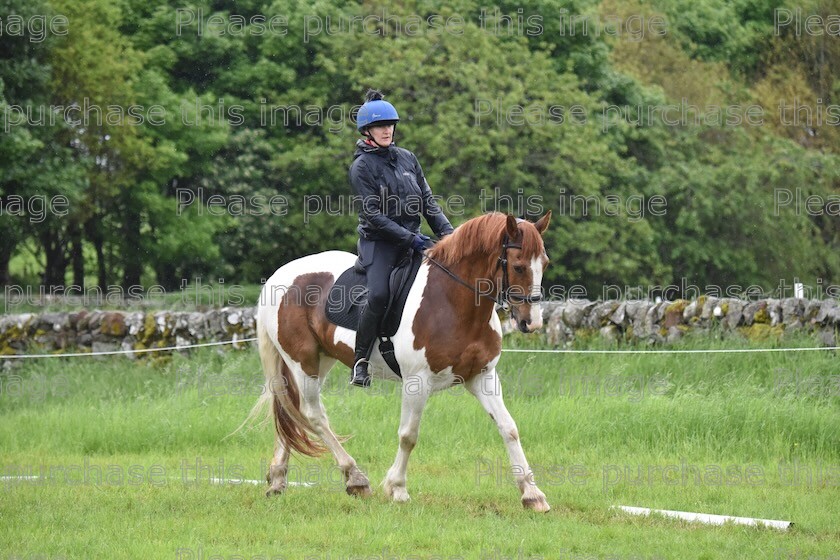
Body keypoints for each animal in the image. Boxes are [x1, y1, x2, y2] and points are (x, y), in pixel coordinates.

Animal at [246, 210, 556, 512]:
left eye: (545, 263)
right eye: (518, 266)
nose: (532, 322)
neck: (452, 301)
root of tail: (278, 275)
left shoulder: (482, 376)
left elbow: (509, 428)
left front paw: (532, 494)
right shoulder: (417, 381)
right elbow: (409, 435)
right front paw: (397, 489)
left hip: (321, 360)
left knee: (292, 409)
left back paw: (277, 479)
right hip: (302, 362)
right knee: (312, 414)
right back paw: (355, 478)